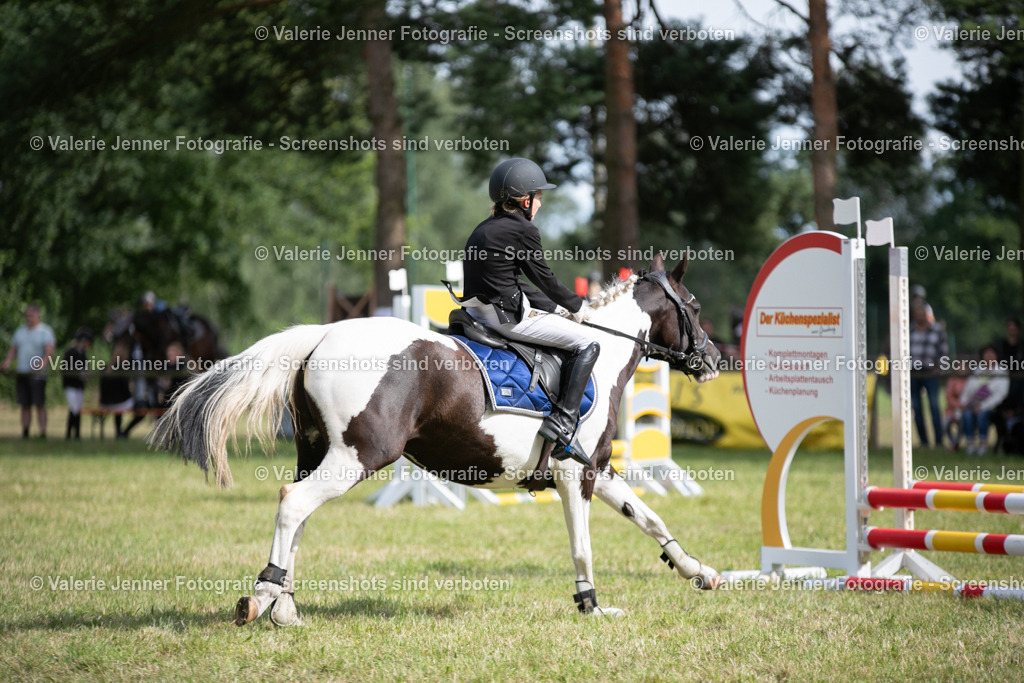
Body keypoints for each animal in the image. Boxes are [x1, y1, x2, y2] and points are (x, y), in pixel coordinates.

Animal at [149, 253, 729, 626]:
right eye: (696, 306)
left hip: (319, 453)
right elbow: (583, 546)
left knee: (299, 515)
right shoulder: (574, 474)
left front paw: (699, 572)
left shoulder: (598, 469)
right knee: (293, 504)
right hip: (359, 456)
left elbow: (650, 518)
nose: (712, 361)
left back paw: (285, 606)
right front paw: (591, 606)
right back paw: (264, 597)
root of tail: (324, 334)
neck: (600, 357)